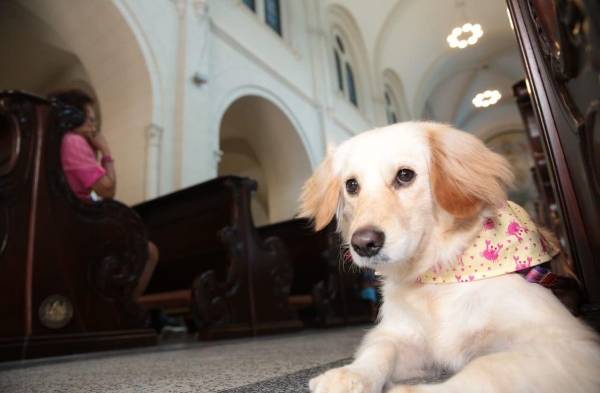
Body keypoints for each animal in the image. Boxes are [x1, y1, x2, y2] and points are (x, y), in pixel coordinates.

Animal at [300, 122, 600, 392]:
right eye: (351, 185)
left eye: (405, 175)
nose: (364, 244)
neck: (439, 276)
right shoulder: (405, 337)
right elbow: (380, 349)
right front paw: (350, 374)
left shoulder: (566, 341)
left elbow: (487, 367)